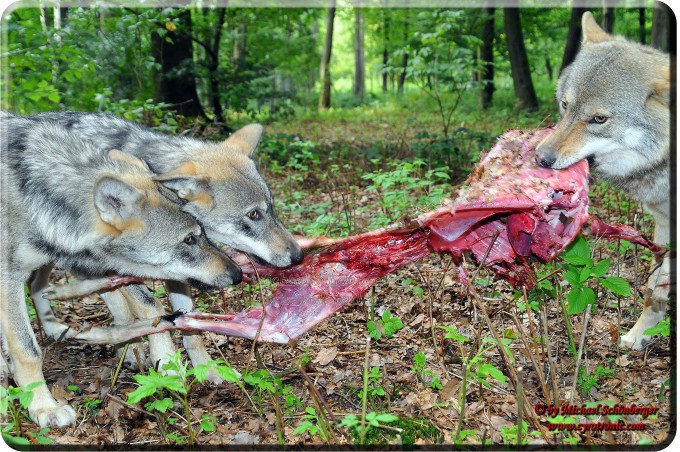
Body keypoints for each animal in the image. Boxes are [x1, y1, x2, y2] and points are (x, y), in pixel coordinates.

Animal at [0, 113, 242, 428]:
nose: (238, 274)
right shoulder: (8, 278)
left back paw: (55, 329)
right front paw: (43, 407)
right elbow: (27, 349)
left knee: (38, 287)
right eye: (189, 239)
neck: (35, 192)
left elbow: (149, 311)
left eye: (202, 233)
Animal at [25, 112, 302, 382]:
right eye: (254, 214)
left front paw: (208, 369)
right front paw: (166, 361)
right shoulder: (124, 264)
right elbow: (151, 307)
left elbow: (187, 317)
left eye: (271, 208)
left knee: (37, 286)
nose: (299, 256)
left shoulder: (181, 269)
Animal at [536, 10, 676, 350]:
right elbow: (655, 291)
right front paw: (639, 336)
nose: (540, 157)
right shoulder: (665, 226)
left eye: (599, 119)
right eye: (565, 105)